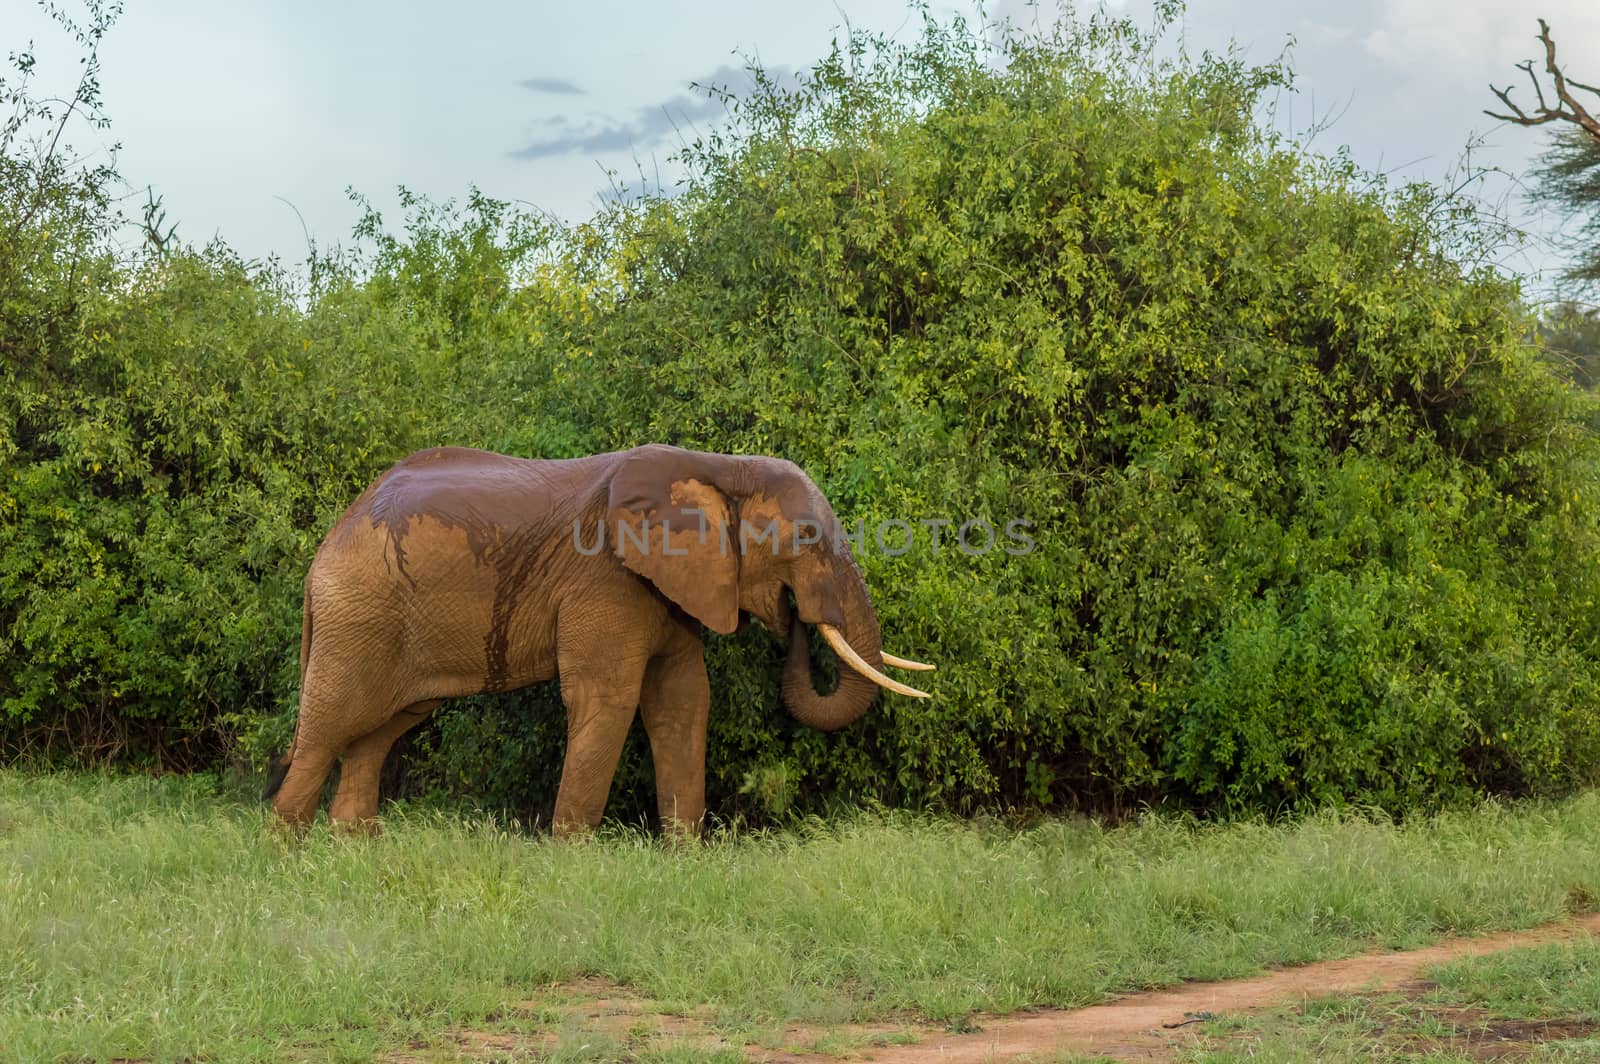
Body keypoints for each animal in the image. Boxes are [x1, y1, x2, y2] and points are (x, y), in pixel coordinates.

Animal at [267, 444, 934, 832]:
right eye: (804, 538)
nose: (792, 615)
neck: (719, 467)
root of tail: (327, 544)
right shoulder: (606, 577)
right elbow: (607, 699)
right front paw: (573, 858)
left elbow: (683, 700)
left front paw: (684, 856)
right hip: (358, 612)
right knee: (330, 724)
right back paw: (289, 852)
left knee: (379, 731)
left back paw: (351, 850)